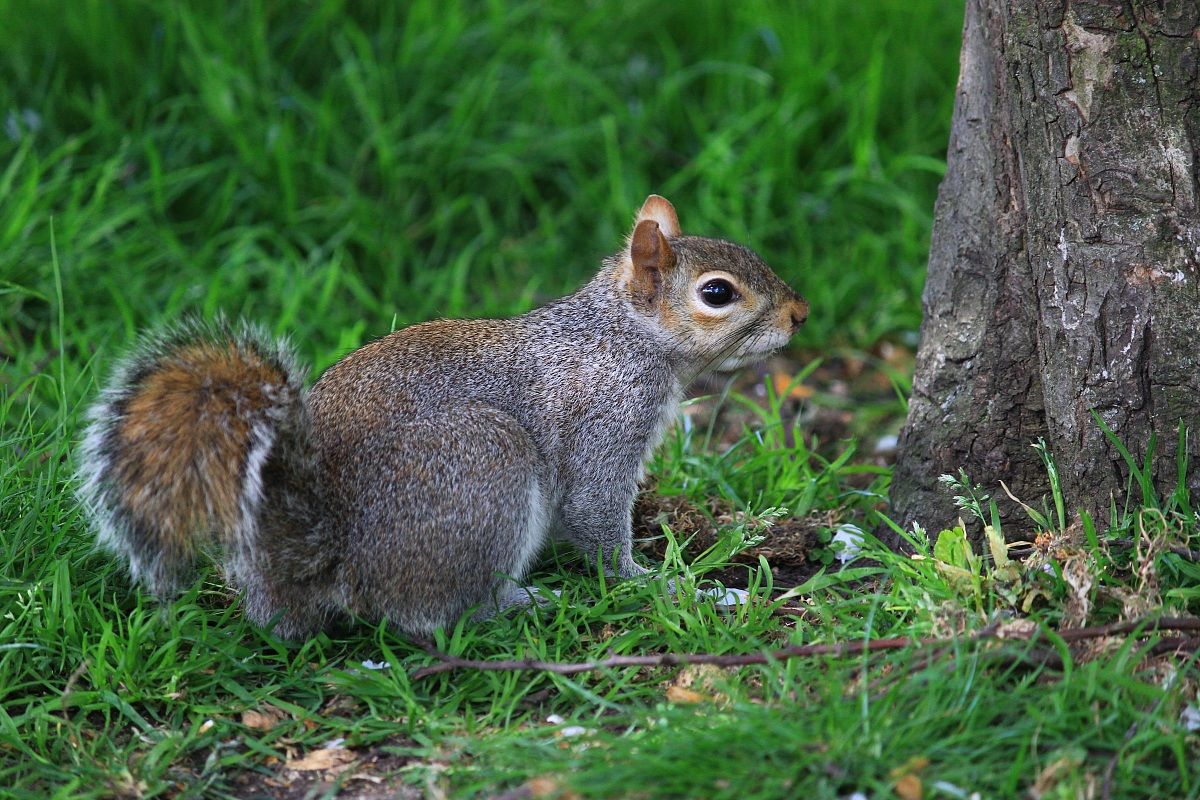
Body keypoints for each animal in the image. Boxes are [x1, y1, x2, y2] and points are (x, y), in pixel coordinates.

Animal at [76, 195, 808, 639]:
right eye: (717, 293)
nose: (800, 313)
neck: (621, 337)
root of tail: (334, 557)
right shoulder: (604, 422)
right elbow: (595, 515)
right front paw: (649, 584)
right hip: (486, 465)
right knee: (428, 612)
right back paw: (525, 602)